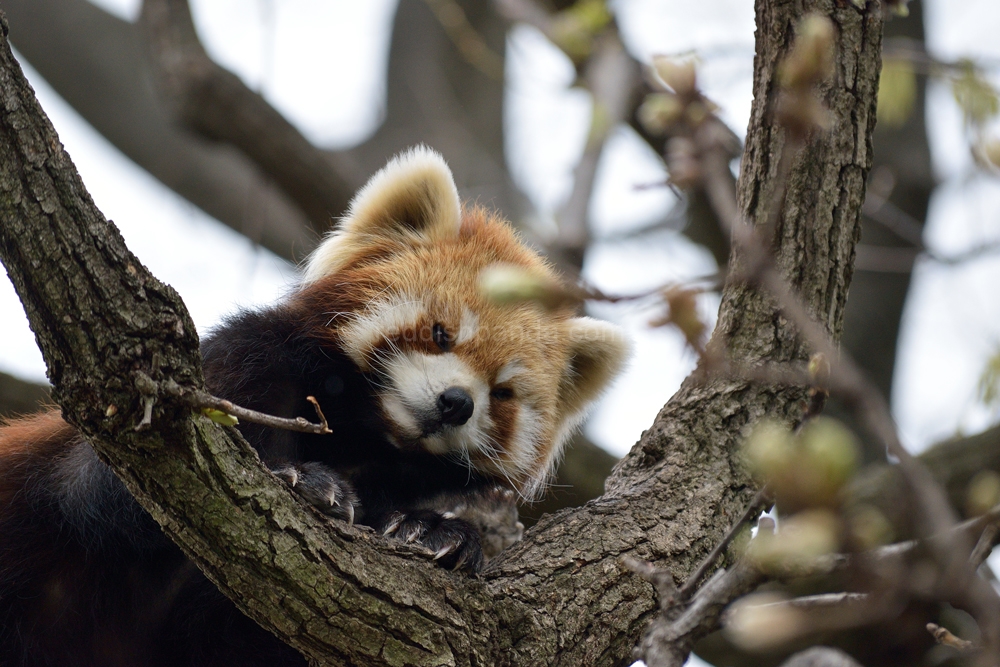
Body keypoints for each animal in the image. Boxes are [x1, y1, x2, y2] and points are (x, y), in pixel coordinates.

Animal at [0, 149, 628, 667]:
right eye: (440, 333)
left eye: (502, 392)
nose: (456, 403)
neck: (360, 431)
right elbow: (111, 487)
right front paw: (310, 481)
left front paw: (436, 533)